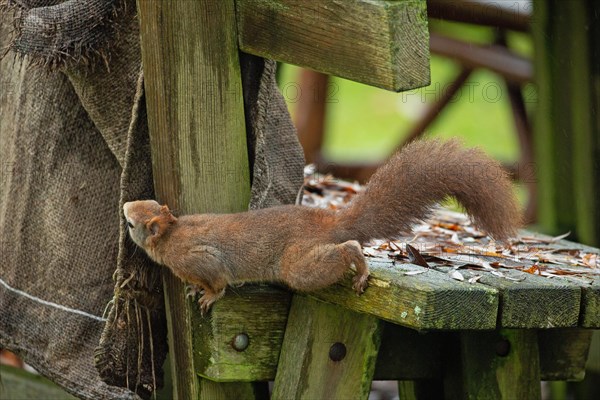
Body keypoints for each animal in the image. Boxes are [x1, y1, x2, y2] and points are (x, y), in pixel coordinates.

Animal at [123, 140, 520, 312]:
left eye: (130, 223)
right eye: (144, 203)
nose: (123, 205)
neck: (172, 234)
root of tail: (330, 221)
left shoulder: (200, 257)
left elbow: (218, 280)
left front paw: (209, 295)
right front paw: (194, 290)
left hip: (299, 264)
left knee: (347, 249)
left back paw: (360, 267)